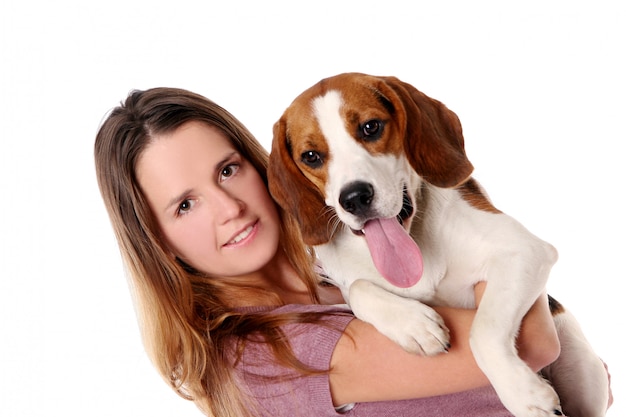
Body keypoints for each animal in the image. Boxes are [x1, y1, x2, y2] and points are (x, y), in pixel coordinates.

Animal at [266, 73, 604, 414]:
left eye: (371, 127)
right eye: (311, 156)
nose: (354, 198)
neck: (417, 242)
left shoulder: (525, 250)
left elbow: (483, 330)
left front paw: (524, 394)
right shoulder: (350, 284)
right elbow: (359, 290)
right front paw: (415, 326)